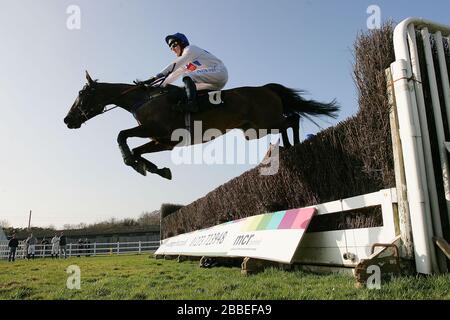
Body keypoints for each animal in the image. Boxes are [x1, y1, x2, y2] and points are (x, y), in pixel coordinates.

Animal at [62, 71, 338, 179]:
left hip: (263, 123)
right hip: (255, 129)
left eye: (81, 94)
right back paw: (289, 147)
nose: (67, 120)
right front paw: (154, 169)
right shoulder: (162, 141)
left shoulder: (163, 135)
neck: (144, 99)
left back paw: (295, 145)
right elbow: (137, 148)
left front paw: (134, 163)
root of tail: (266, 88)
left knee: (292, 119)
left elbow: (121, 136)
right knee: (287, 122)